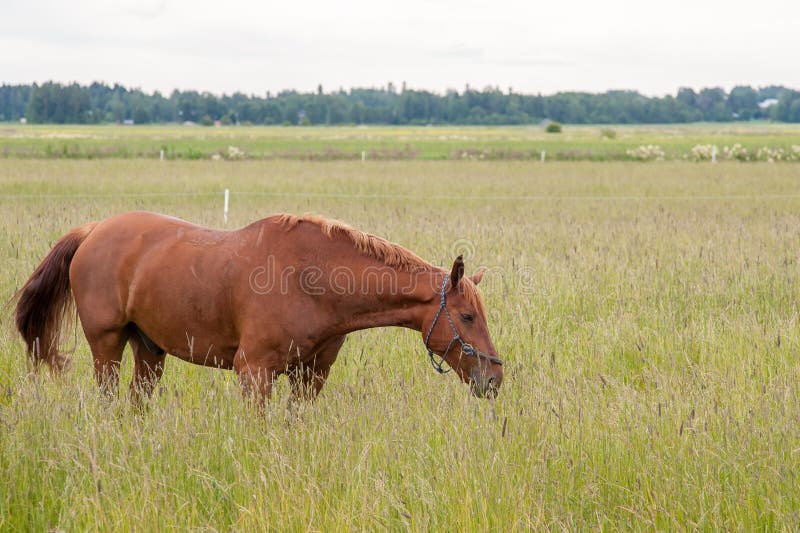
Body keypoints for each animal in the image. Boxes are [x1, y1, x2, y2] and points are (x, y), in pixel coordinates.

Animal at [14, 211, 506, 404]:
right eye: (467, 317)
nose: (494, 379)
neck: (311, 280)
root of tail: (94, 230)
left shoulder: (310, 377)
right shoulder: (255, 373)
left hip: (149, 350)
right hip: (107, 347)